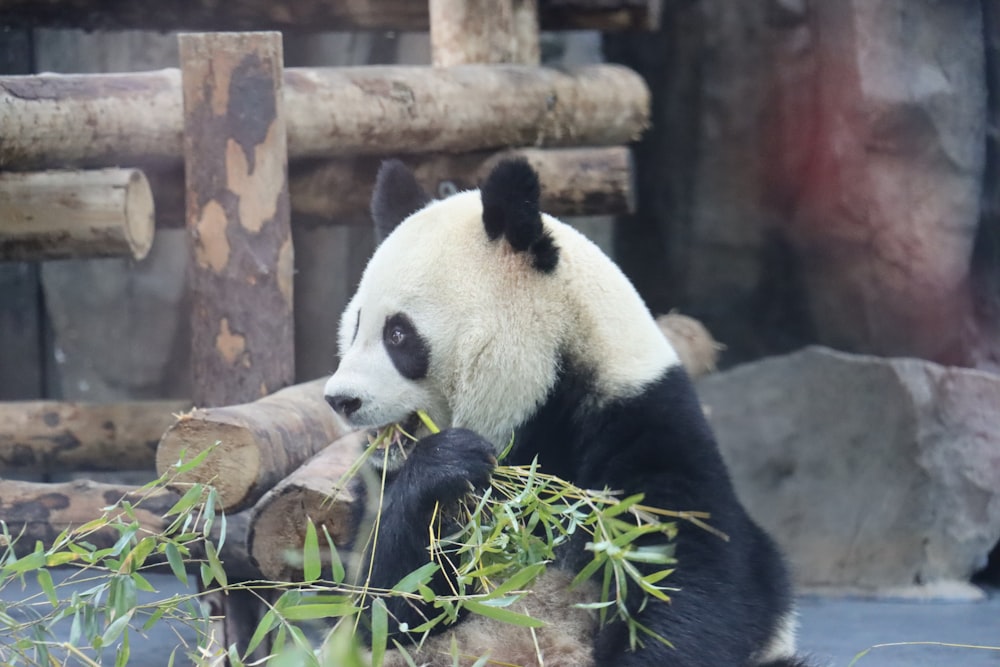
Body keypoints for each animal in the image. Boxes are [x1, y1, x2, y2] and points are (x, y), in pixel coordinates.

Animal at [324, 159, 808, 664]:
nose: (340, 399)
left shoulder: (640, 426)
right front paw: (445, 466)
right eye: (354, 326)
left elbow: (687, 577)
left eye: (398, 334)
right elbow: (380, 606)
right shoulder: (382, 492)